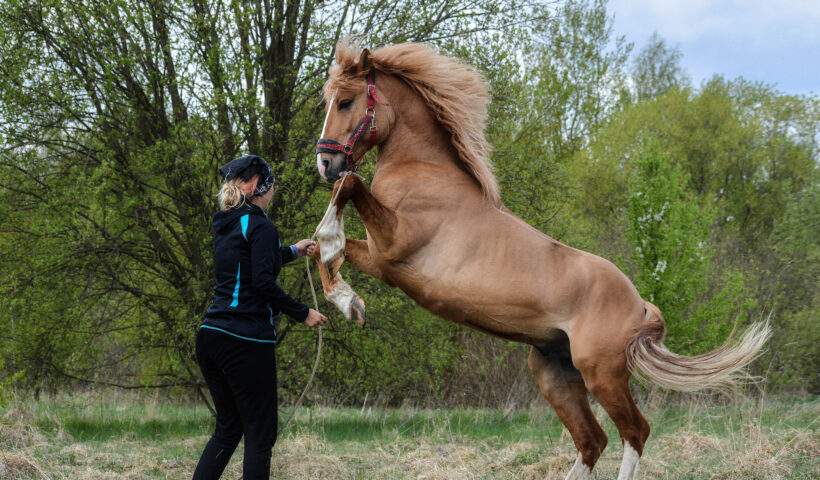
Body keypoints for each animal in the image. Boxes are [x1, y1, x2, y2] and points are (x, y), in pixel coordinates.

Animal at [310, 40, 772, 480]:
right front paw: (349, 302)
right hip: (555, 374)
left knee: (634, 432)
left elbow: (347, 190)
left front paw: (337, 264)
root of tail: (640, 305)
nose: (325, 162)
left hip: (602, 375)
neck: (424, 173)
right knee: (593, 440)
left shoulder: (394, 245)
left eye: (346, 101)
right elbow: (319, 246)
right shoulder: (382, 261)